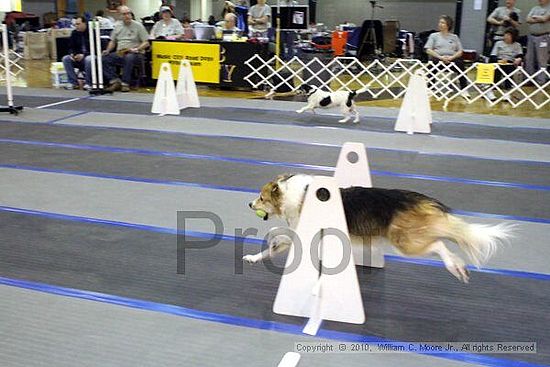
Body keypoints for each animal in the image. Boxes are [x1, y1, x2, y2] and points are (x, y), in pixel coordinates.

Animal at [244, 174, 516, 284]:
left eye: (261, 197)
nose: (249, 204)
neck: (292, 195)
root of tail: (419, 199)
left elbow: (279, 237)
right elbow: (275, 245)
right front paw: (254, 258)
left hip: (405, 241)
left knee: (439, 245)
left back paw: (453, 266)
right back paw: (459, 266)